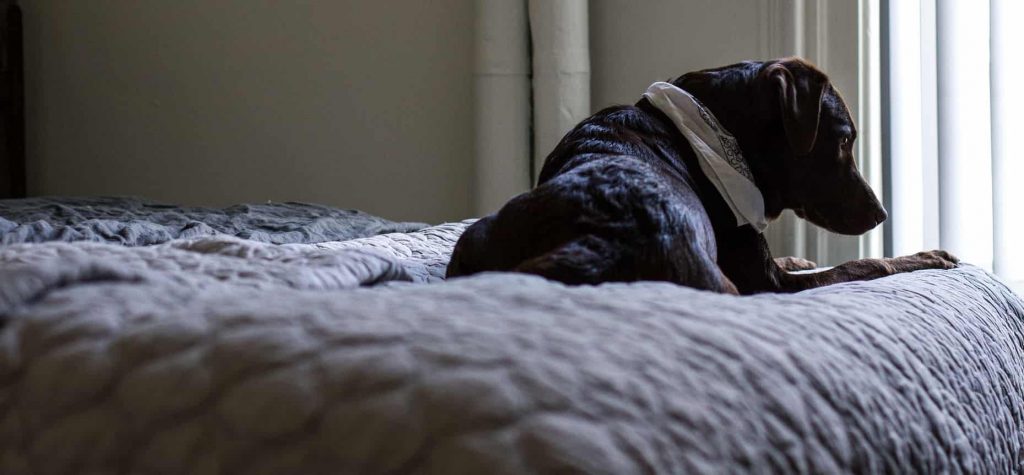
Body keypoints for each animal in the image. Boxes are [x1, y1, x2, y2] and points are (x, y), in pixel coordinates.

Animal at [448, 56, 958, 292]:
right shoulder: (769, 283)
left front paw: (802, 256)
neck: (719, 131)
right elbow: (865, 264)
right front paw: (926, 255)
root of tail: (599, 239)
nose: (881, 213)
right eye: (845, 139)